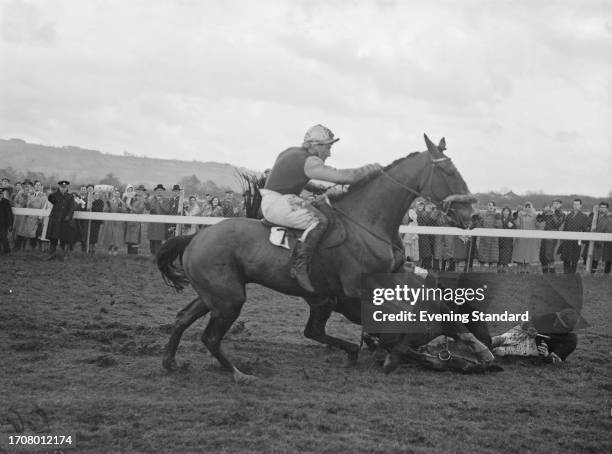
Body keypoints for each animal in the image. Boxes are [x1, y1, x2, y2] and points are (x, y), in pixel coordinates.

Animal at [157, 133, 492, 382]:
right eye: (449, 171)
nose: (473, 215)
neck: (368, 222)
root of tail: (195, 237)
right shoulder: (356, 290)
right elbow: (411, 317)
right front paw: (393, 354)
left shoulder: (393, 276)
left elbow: (435, 307)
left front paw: (476, 345)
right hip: (229, 299)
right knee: (211, 337)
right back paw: (239, 373)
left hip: (215, 294)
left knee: (183, 318)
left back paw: (171, 362)